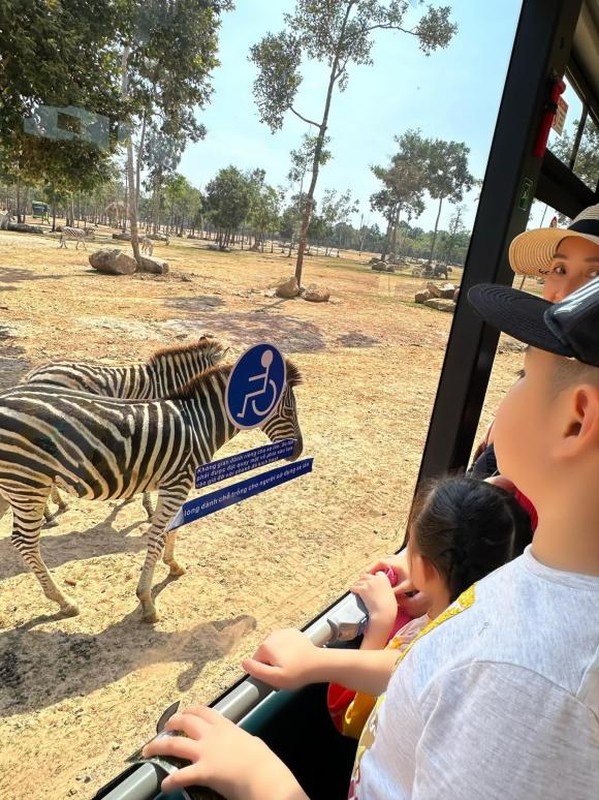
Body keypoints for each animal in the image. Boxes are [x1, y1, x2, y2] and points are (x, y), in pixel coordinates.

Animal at [0, 360, 302, 620]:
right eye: (288, 410)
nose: (298, 451)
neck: (200, 424)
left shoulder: (174, 483)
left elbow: (174, 526)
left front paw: (173, 564)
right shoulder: (178, 482)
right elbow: (157, 536)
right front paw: (146, 600)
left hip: (13, 485)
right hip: (27, 482)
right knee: (25, 542)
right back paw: (64, 601)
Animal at [21, 338, 227, 524]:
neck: (166, 381)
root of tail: (31, 375)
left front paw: (130, 496)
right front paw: (149, 509)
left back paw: (58, 506)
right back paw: (49, 514)